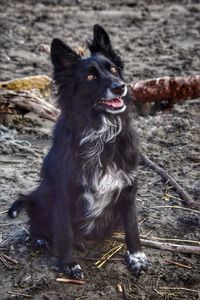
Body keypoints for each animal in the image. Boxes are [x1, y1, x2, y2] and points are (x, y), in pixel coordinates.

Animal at [7, 24, 148, 278]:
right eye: (90, 76)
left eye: (113, 69)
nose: (119, 86)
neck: (100, 130)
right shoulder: (63, 192)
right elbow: (65, 232)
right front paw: (68, 263)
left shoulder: (128, 186)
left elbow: (132, 226)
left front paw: (137, 256)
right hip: (44, 195)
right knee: (37, 220)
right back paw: (41, 239)